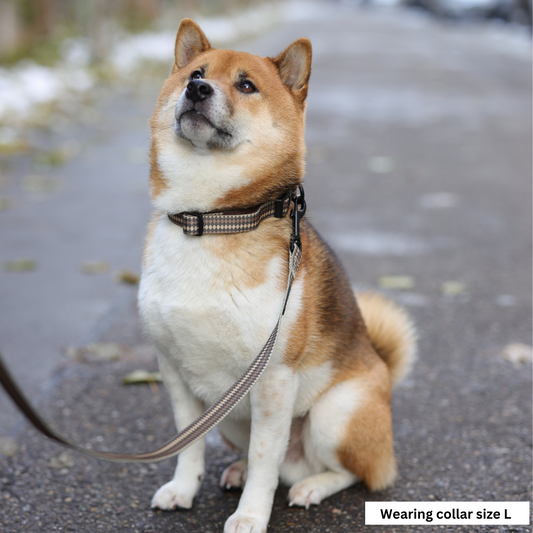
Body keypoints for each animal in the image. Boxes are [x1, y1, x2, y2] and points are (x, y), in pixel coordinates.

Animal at [137, 17, 416, 532]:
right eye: (196, 73)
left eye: (246, 85)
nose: (197, 89)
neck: (213, 221)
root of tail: (383, 369)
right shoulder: (175, 373)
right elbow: (189, 444)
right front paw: (183, 489)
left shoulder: (273, 379)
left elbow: (268, 458)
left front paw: (250, 516)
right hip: (228, 416)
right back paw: (239, 469)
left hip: (334, 414)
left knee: (354, 473)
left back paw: (311, 486)